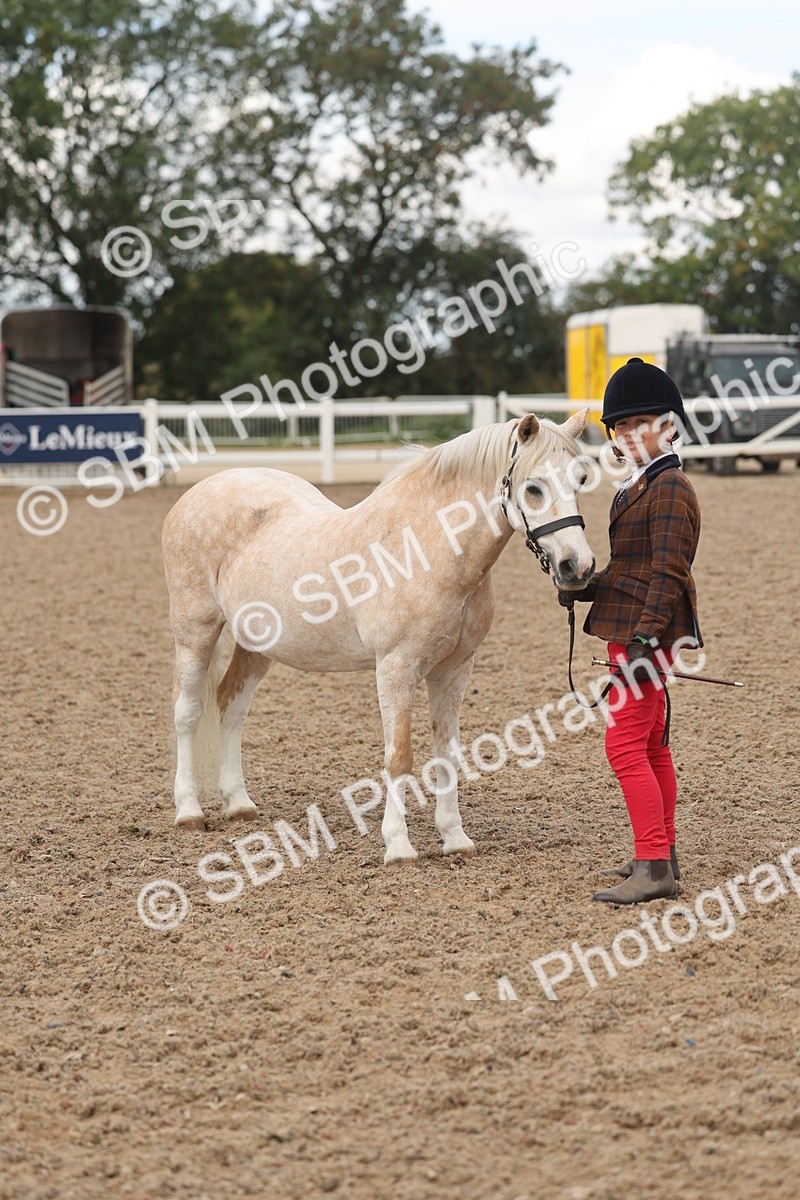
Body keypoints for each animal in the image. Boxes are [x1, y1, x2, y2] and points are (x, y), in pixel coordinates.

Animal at [161, 409, 595, 863]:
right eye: (533, 487)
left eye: (581, 479)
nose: (577, 567)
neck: (424, 548)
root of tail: (200, 490)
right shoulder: (396, 667)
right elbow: (399, 757)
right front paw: (399, 845)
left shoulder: (454, 670)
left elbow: (447, 754)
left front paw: (454, 838)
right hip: (195, 631)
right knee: (187, 711)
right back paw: (189, 811)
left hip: (256, 645)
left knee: (231, 705)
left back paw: (239, 803)